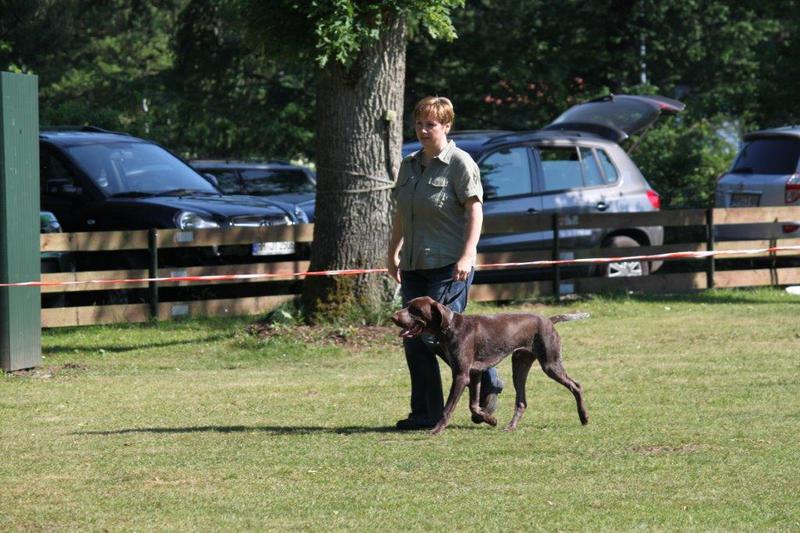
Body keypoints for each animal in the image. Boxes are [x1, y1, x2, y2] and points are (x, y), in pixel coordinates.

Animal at [392, 296, 589, 435]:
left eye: (415, 310)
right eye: (407, 305)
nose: (393, 317)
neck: (450, 327)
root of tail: (549, 320)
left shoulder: (461, 375)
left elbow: (447, 408)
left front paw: (437, 429)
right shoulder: (474, 373)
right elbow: (473, 406)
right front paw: (490, 419)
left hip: (550, 364)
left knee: (576, 385)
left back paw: (584, 417)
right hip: (519, 365)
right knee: (522, 402)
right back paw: (511, 426)